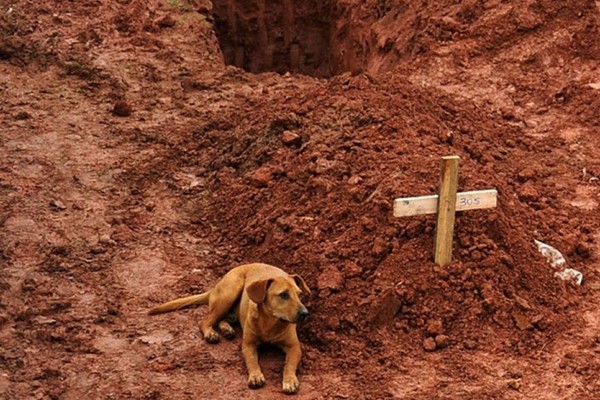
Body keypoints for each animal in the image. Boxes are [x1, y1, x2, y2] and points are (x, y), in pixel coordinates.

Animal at [148, 262, 312, 394]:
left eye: (299, 294)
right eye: (284, 295)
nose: (305, 313)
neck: (270, 323)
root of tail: (216, 285)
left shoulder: (294, 347)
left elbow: (289, 364)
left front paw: (289, 380)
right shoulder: (248, 345)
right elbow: (252, 361)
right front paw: (255, 375)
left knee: (222, 319)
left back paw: (226, 329)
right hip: (229, 293)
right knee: (205, 321)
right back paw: (211, 333)